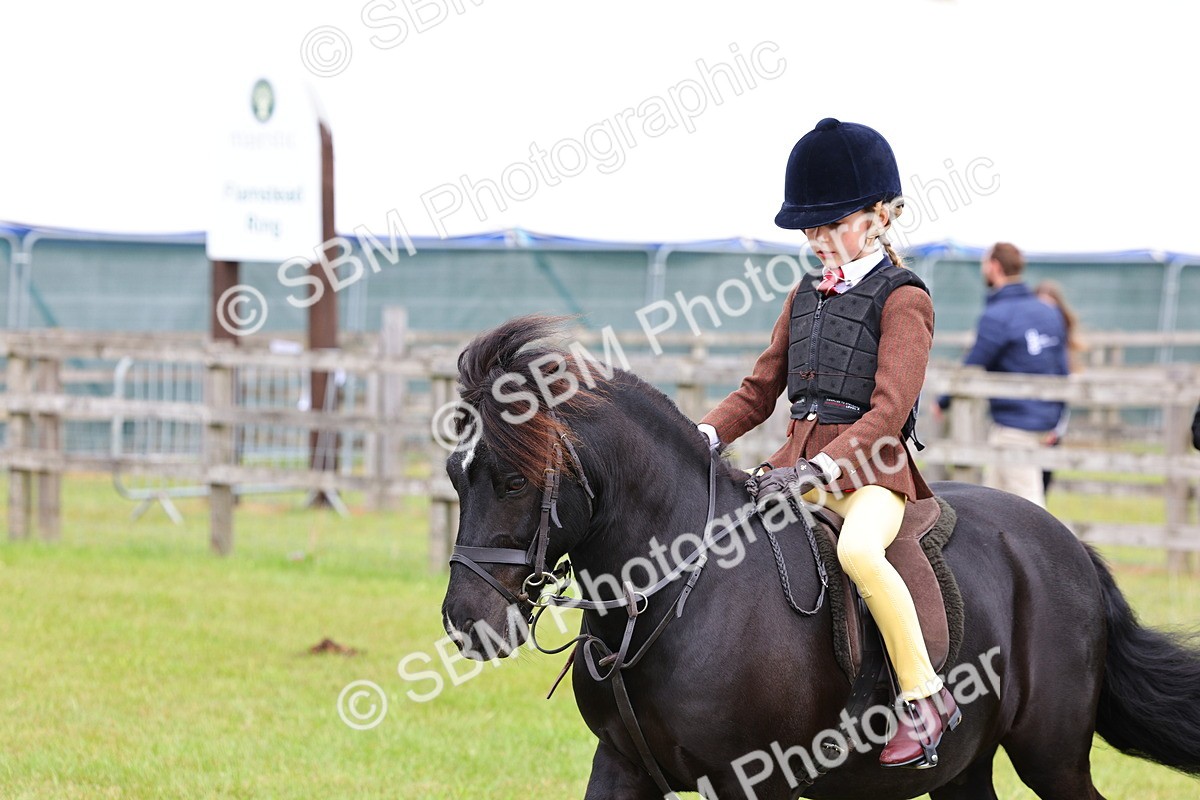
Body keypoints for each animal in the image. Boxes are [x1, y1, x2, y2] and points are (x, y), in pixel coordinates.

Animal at [440, 314, 1200, 799]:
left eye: (514, 481)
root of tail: (1069, 546)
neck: (676, 598)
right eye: (455, 474)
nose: (466, 623)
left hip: (1052, 756)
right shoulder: (621, 767)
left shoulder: (753, 780)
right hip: (963, 770)